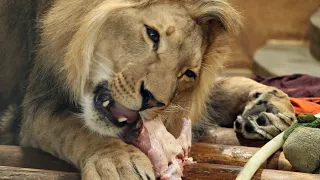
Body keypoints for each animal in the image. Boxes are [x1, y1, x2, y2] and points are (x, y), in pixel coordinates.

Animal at [0, 0, 296, 179]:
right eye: (153, 35)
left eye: (188, 73)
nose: (153, 100)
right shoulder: (36, 108)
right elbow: (78, 130)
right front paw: (119, 162)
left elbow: (225, 86)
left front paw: (270, 108)